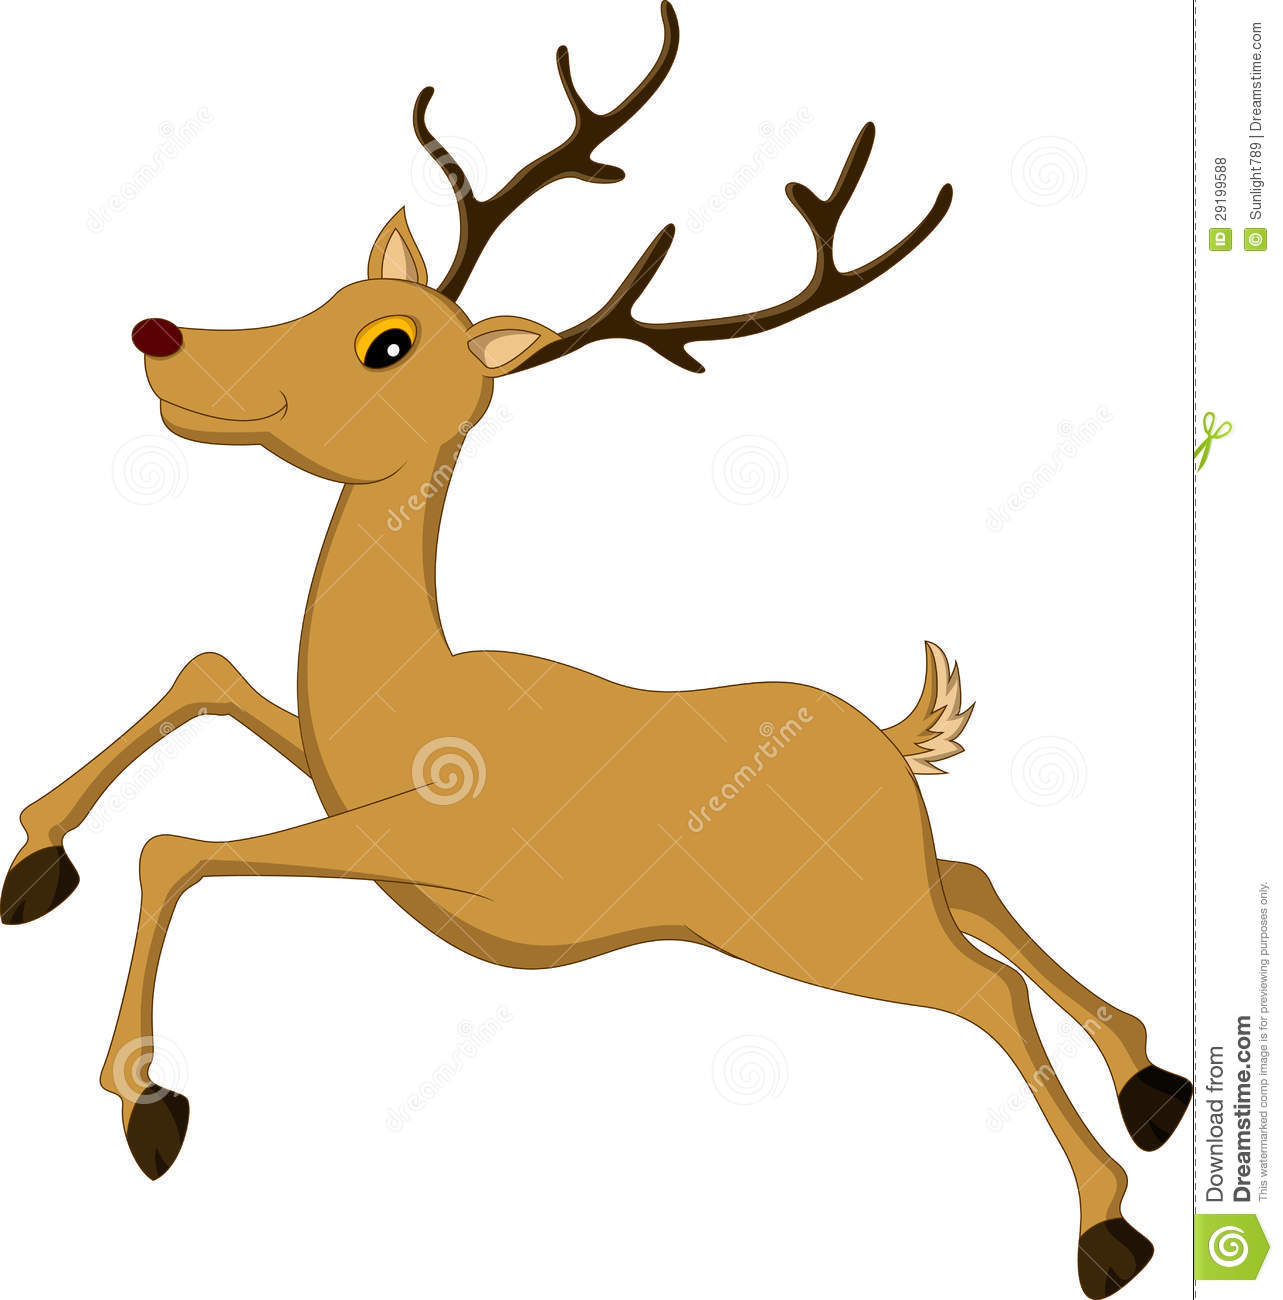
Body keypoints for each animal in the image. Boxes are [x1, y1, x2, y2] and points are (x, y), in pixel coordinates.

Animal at [4, 6, 1187, 1295]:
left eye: (385, 343)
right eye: (333, 292)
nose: (159, 335)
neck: (406, 696)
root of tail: (886, 739)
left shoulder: (424, 838)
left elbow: (177, 849)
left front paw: (148, 1105)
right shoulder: (329, 770)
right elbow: (207, 675)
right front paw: (33, 859)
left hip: (819, 930)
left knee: (984, 988)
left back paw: (1109, 1226)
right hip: (871, 893)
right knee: (968, 879)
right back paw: (1152, 1082)